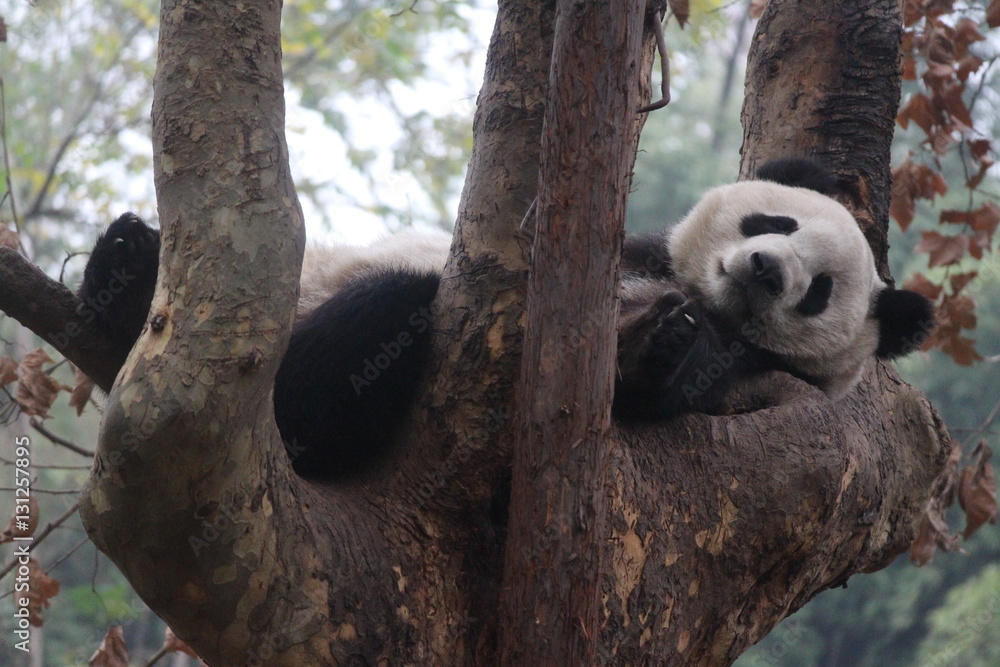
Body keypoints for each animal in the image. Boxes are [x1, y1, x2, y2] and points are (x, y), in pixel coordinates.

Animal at [78, 158, 934, 481]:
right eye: (774, 222)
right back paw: (121, 268)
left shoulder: (753, 379)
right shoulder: (636, 251)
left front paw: (666, 347)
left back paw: (296, 414)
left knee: (385, 315)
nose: (763, 269)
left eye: (818, 290)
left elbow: (659, 387)